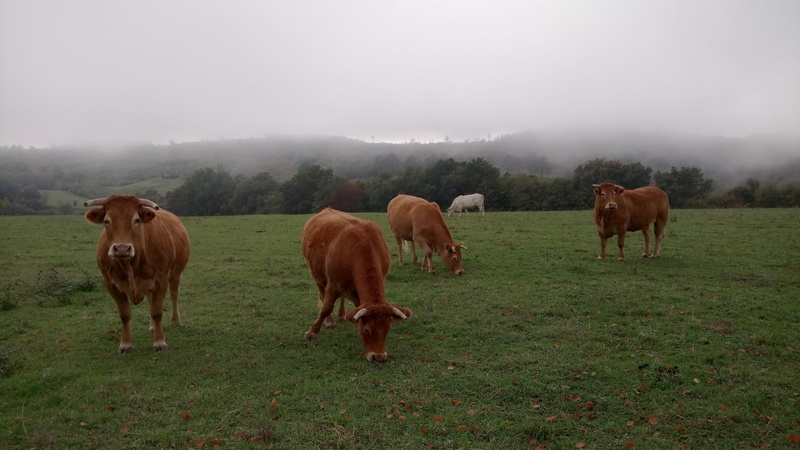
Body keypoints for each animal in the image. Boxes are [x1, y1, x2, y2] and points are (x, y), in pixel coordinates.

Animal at [84, 195, 190, 353]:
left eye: (136, 220)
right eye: (106, 221)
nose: (122, 248)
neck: (130, 264)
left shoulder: (161, 279)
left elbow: (157, 311)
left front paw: (159, 342)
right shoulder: (111, 283)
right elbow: (125, 314)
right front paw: (125, 344)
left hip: (175, 274)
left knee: (174, 295)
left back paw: (175, 320)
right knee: (150, 300)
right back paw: (152, 326)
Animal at [301, 208, 412, 362]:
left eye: (387, 329)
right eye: (367, 330)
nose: (379, 356)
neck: (363, 247)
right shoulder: (332, 285)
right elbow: (326, 308)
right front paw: (312, 332)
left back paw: (341, 313)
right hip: (317, 276)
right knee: (322, 296)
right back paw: (329, 321)